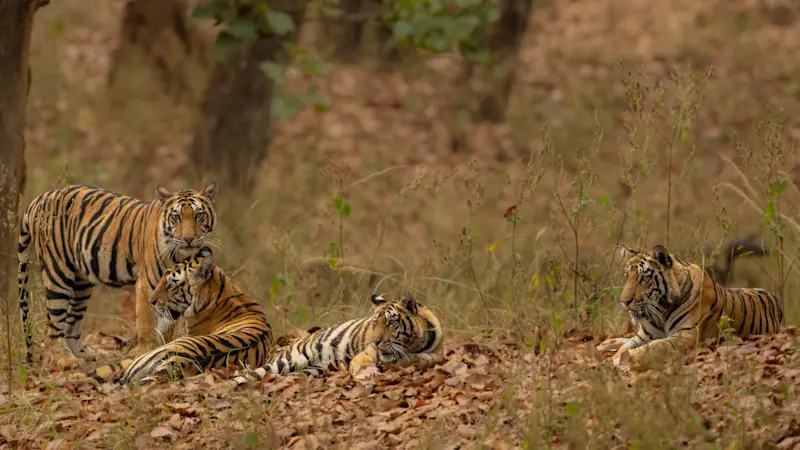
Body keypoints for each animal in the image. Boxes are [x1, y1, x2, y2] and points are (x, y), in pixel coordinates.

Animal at [17, 183, 218, 364]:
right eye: (176, 217)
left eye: (198, 215)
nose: (188, 239)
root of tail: (40, 197)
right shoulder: (146, 286)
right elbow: (147, 328)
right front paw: (149, 353)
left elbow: (168, 326)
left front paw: (167, 348)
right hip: (58, 273)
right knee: (52, 328)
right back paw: (65, 360)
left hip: (81, 283)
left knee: (70, 325)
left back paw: (84, 357)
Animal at [235, 292, 444, 383]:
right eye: (375, 323)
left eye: (391, 322)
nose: (375, 342)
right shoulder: (366, 353)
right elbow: (362, 364)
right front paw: (366, 374)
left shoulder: (435, 353)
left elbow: (422, 358)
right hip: (286, 361)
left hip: (310, 370)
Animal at [597, 244, 783, 370]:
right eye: (627, 277)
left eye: (644, 278)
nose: (624, 301)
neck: (661, 312)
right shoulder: (645, 335)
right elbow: (627, 346)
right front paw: (614, 357)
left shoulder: (684, 337)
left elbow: (652, 347)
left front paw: (615, 361)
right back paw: (605, 344)